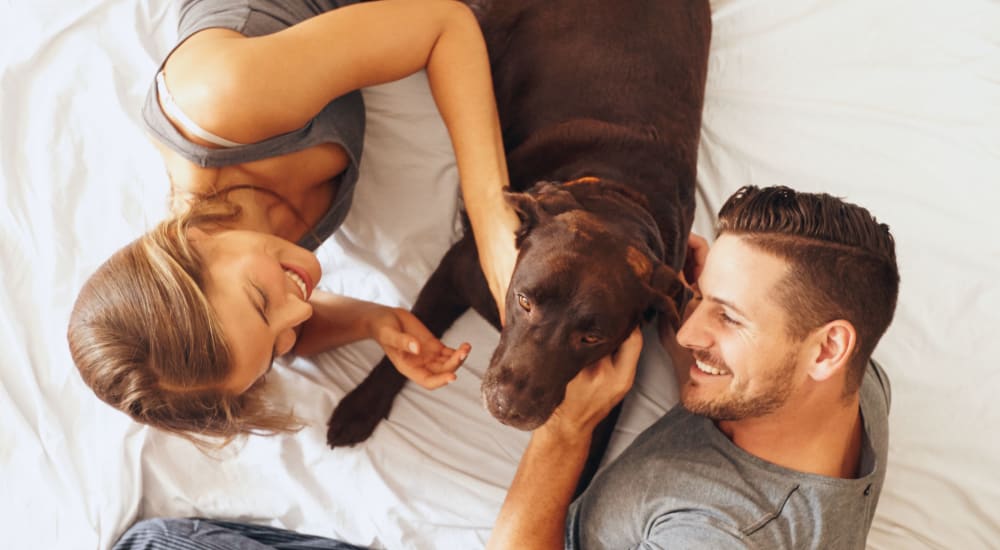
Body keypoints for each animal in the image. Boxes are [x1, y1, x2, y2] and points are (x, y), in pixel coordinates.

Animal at [328, 0, 712, 484]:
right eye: (525, 301)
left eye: (592, 337)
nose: (508, 408)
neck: (620, 195)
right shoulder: (457, 270)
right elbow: (416, 328)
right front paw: (362, 405)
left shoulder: (610, 400)